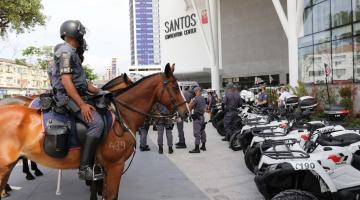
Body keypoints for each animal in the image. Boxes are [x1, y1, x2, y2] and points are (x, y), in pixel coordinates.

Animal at [0, 65, 190, 199]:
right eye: (175, 87)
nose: (186, 112)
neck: (122, 116)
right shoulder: (115, 165)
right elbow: (110, 195)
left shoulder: (104, 167)